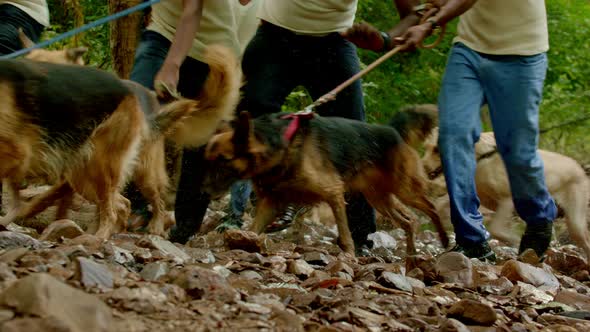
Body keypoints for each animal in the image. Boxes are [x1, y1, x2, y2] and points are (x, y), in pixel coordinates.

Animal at [0, 44, 242, 239]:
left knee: (138, 202)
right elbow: (23, 200)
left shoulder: (16, 155)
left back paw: (121, 233)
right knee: (120, 204)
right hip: (84, 173)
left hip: (116, 169)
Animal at [204, 105, 448, 254]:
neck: (279, 142)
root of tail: (391, 130)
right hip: (379, 198)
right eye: (207, 160)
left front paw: (349, 256)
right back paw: (411, 253)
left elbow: (345, 234)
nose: (202, 192)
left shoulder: (333, 192)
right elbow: (254, 228)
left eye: (223, 161)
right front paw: (243, 243)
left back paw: (444, 238)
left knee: (431, 208)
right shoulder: (270, 203)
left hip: (405, 189)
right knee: (409, 221)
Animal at [426, 127, 590, 260]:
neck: (482, 157)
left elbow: (496, 228)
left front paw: (514, 240)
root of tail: (580, 168)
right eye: (428, 147)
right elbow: (444, 207)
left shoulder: (506, 201)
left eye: (436, 149)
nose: (425, 168)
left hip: (575, 221)